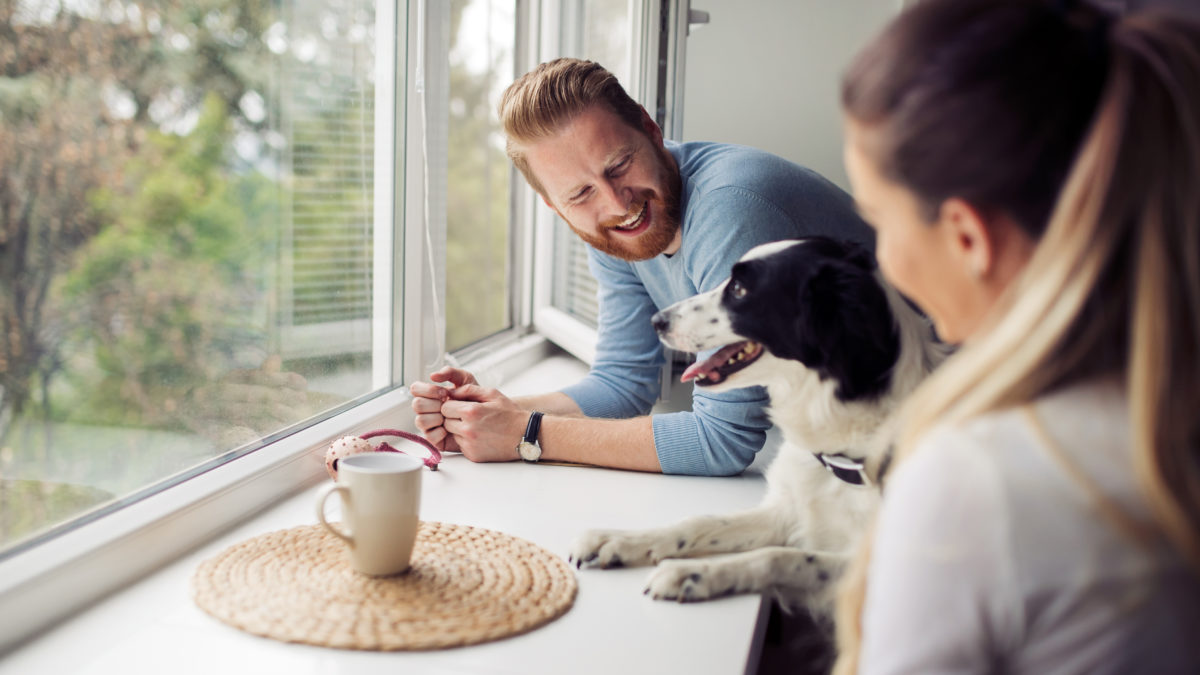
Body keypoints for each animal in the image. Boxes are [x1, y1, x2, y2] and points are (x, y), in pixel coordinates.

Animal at [566, 235, 940, 624]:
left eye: (740, 290)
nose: (657, 320)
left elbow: (780, 556)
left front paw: (693, 573)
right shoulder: (785, 509)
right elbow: (699, 523)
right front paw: (619, 540)